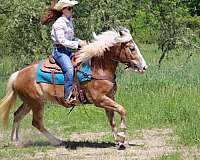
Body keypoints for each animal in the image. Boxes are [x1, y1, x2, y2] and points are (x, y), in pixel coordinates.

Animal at [0, 28, 147, 149]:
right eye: (132, 48)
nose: (144, 67)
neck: (98, 69)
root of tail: (18, 74)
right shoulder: (99, 100)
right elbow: (122, 109)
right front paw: (122, 136)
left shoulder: (109, 97)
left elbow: (111, 119)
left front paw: (119, 141)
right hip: (36, 103)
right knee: (36, 122)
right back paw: (56, 141)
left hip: (29, 102)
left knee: (17, 115)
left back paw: (16, 141)